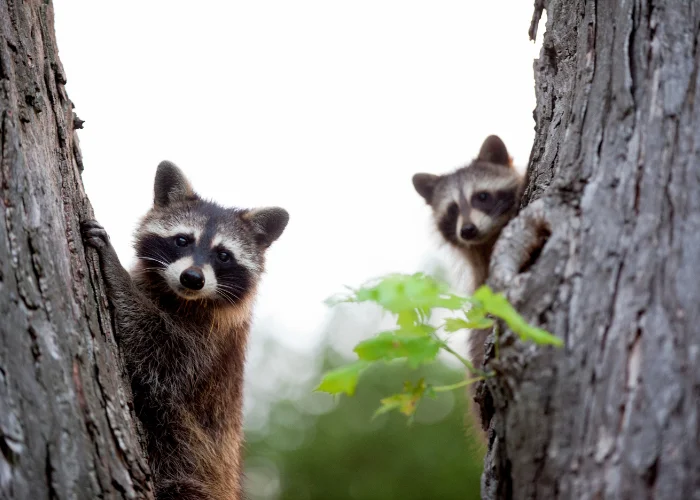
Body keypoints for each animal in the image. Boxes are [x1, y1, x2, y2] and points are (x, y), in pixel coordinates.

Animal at [82, 162, 288, 500]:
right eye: (182, 240)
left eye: (223, 255)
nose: (193, 278)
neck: (180, 296)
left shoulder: (208, 345)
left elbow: (156, 348)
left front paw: (114, 268)